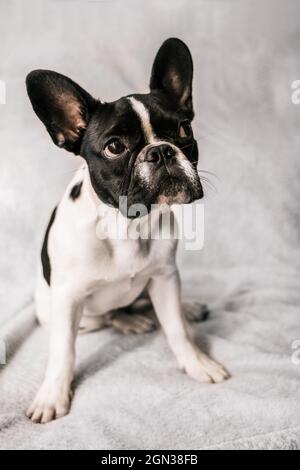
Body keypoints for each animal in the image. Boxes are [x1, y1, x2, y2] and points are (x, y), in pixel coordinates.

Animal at [25, 38, 230, 424]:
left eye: (183, 129)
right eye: (114, 147)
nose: (161, 151)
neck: (128, 224)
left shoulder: (165, 277)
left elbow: (177, 330)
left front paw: (197, 363)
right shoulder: (68, 298)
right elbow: (63, 352)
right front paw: (52, 395)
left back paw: (186, 307)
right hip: (67, 313)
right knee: (107, 316)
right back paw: (128, 322)